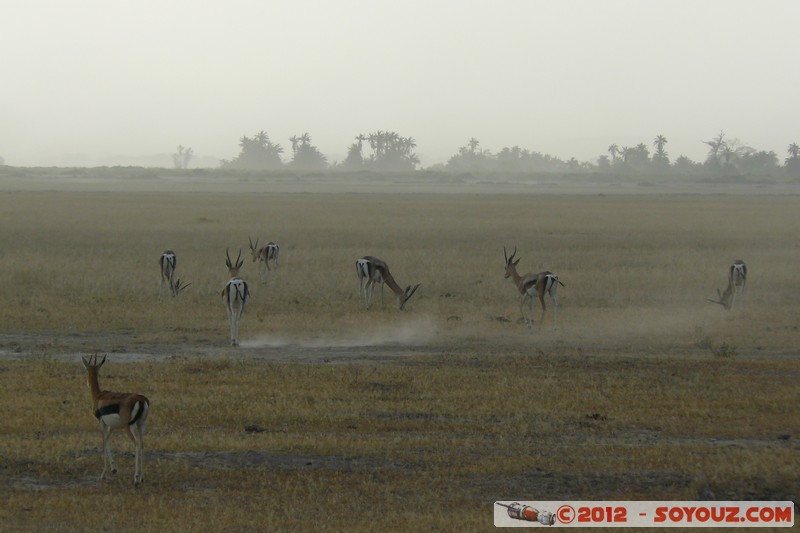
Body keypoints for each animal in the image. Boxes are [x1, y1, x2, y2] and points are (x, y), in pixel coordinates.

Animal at [81, 354, 149, 486]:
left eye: (86, 370)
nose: (87, 383)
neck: (99, 396)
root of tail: (141, 399)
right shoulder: (112, 426)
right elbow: (108, 441)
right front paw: (113, 469)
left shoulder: (101, 423)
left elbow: (103, 442)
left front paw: (103, 474)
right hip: (140, 425)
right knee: (143, 444)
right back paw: (142, 477)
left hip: (128, 427)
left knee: (136, 444)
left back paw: (136, 478)